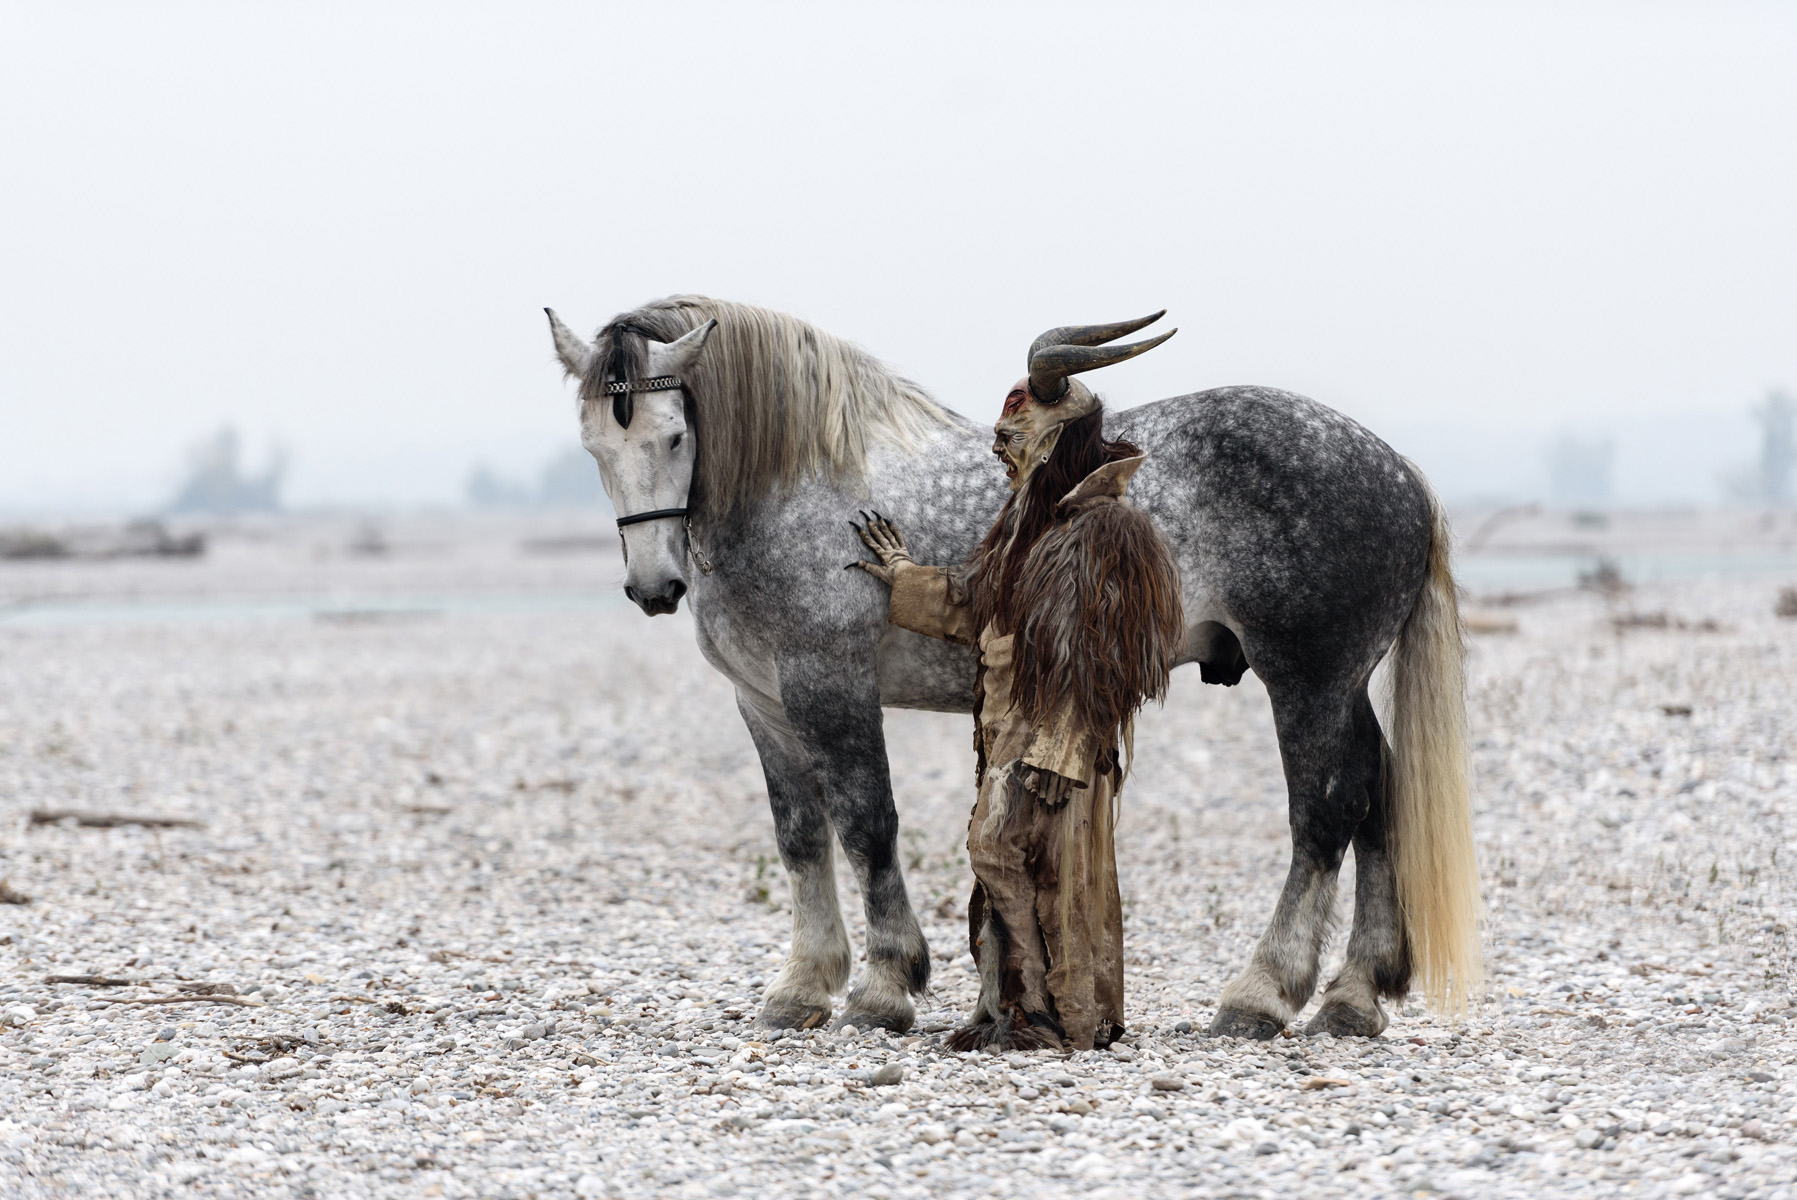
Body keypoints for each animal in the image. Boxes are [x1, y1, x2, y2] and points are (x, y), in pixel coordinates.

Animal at [542, 298, 1473, 1041]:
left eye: (673, 435)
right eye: (594, 448)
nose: (653, 588)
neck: (796, 491)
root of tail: (1399, 471)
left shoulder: (829, 686)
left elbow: (866, 824)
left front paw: (884, 987)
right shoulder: (763, 703)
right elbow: (800, 836)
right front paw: (801, 987)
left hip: (1306, 680)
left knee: (1325, 812)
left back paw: (1263, 994)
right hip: (1341, 684)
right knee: (1376, 796)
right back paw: (1354, 996)